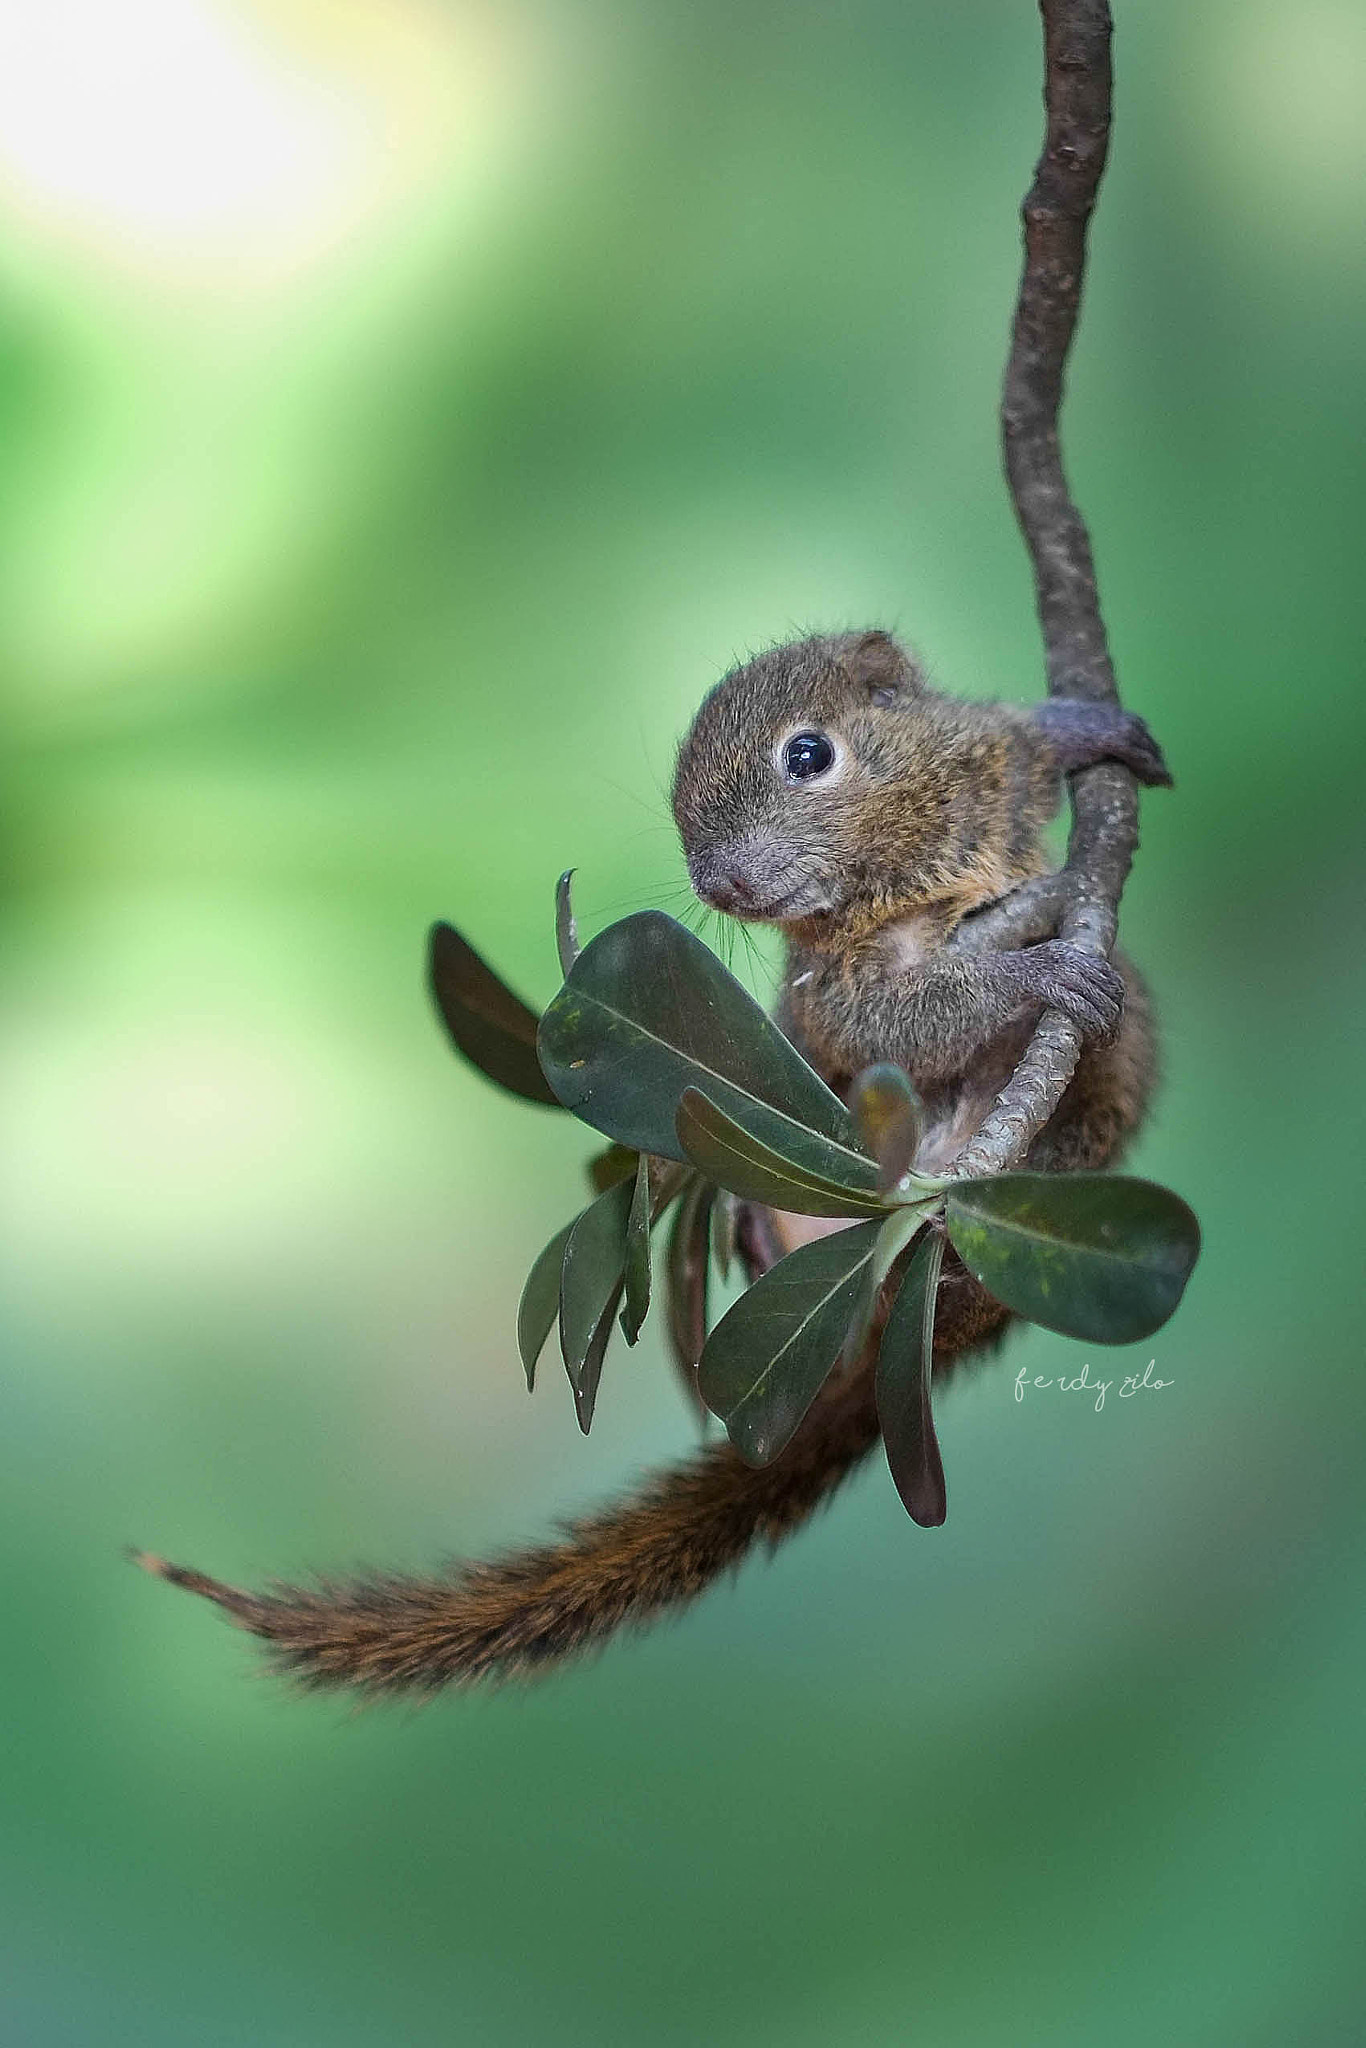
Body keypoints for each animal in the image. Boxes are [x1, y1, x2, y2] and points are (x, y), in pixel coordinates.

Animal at [136, 630, 1163, 1687]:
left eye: (808, 755)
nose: (721, 885)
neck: (905, 857)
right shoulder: (835, 979)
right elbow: (891, 1022)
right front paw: (1033, 970)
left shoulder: (981, 778)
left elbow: (1012, 753)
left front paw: (1077, 731)